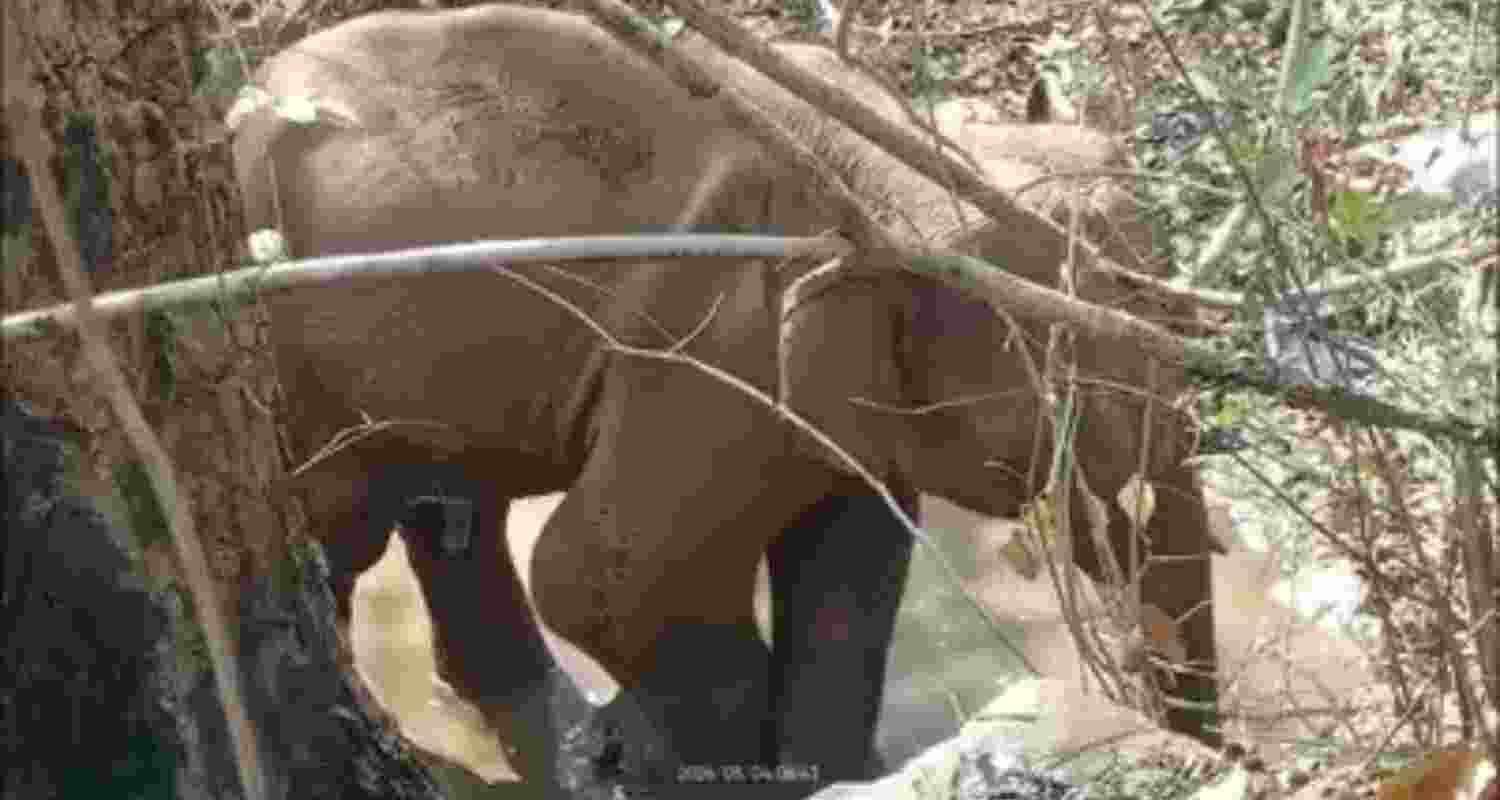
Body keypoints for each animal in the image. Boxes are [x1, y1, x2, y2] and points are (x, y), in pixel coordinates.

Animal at [231, 3, 1221, 795]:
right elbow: (604, 576)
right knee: (348, 529)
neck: (884, 148)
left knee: (452, 513)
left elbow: (851, 555)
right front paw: (667, 764)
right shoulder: (716, 336)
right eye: (1073, 411)